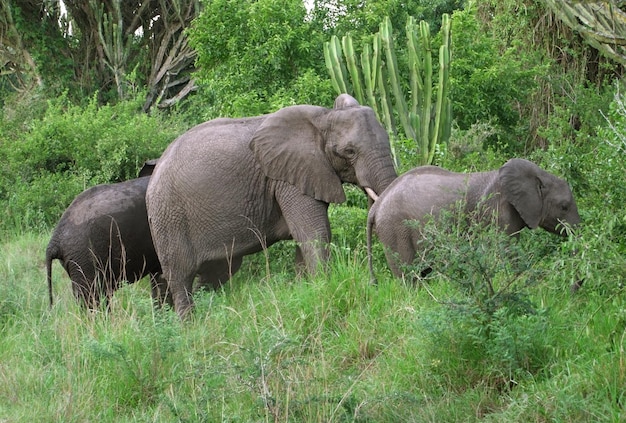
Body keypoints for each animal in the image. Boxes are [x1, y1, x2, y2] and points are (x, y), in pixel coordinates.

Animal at [147, 93, 394, 318]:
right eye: (349, 152)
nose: (375, 283)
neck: (324, 117)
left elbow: (305, 237)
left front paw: (304, 290)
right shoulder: (287, 176)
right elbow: (314, 232)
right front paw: (323, 287)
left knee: (217, 272)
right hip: (169, 216)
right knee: (181, 276)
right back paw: (189, 324)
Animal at [366, 159, 580, 282]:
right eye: (564, 206)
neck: (540, 175)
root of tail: (376, 206)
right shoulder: (497, 209)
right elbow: (507, 249)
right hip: (395, 229)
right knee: (408, 275)